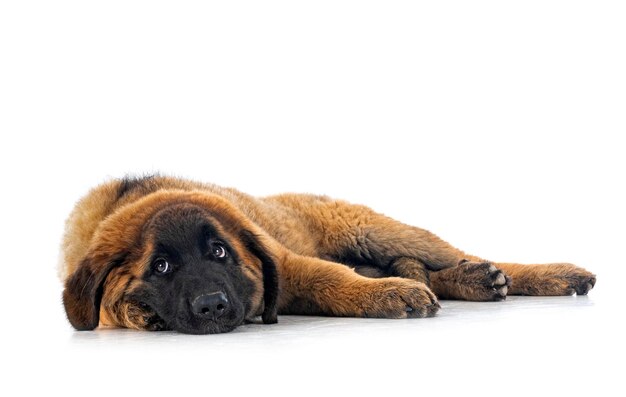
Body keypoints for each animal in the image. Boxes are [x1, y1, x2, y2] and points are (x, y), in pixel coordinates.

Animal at [59, 175, 596, 332]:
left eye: (220, 252)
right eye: (162, 266)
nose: (213, 306)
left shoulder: (287, 263)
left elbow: (332, 279)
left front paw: (390, 295)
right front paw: (139, 312)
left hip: (379, 231)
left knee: (455, 254)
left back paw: (548, 275)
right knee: (432, 270)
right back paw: (474, 280)